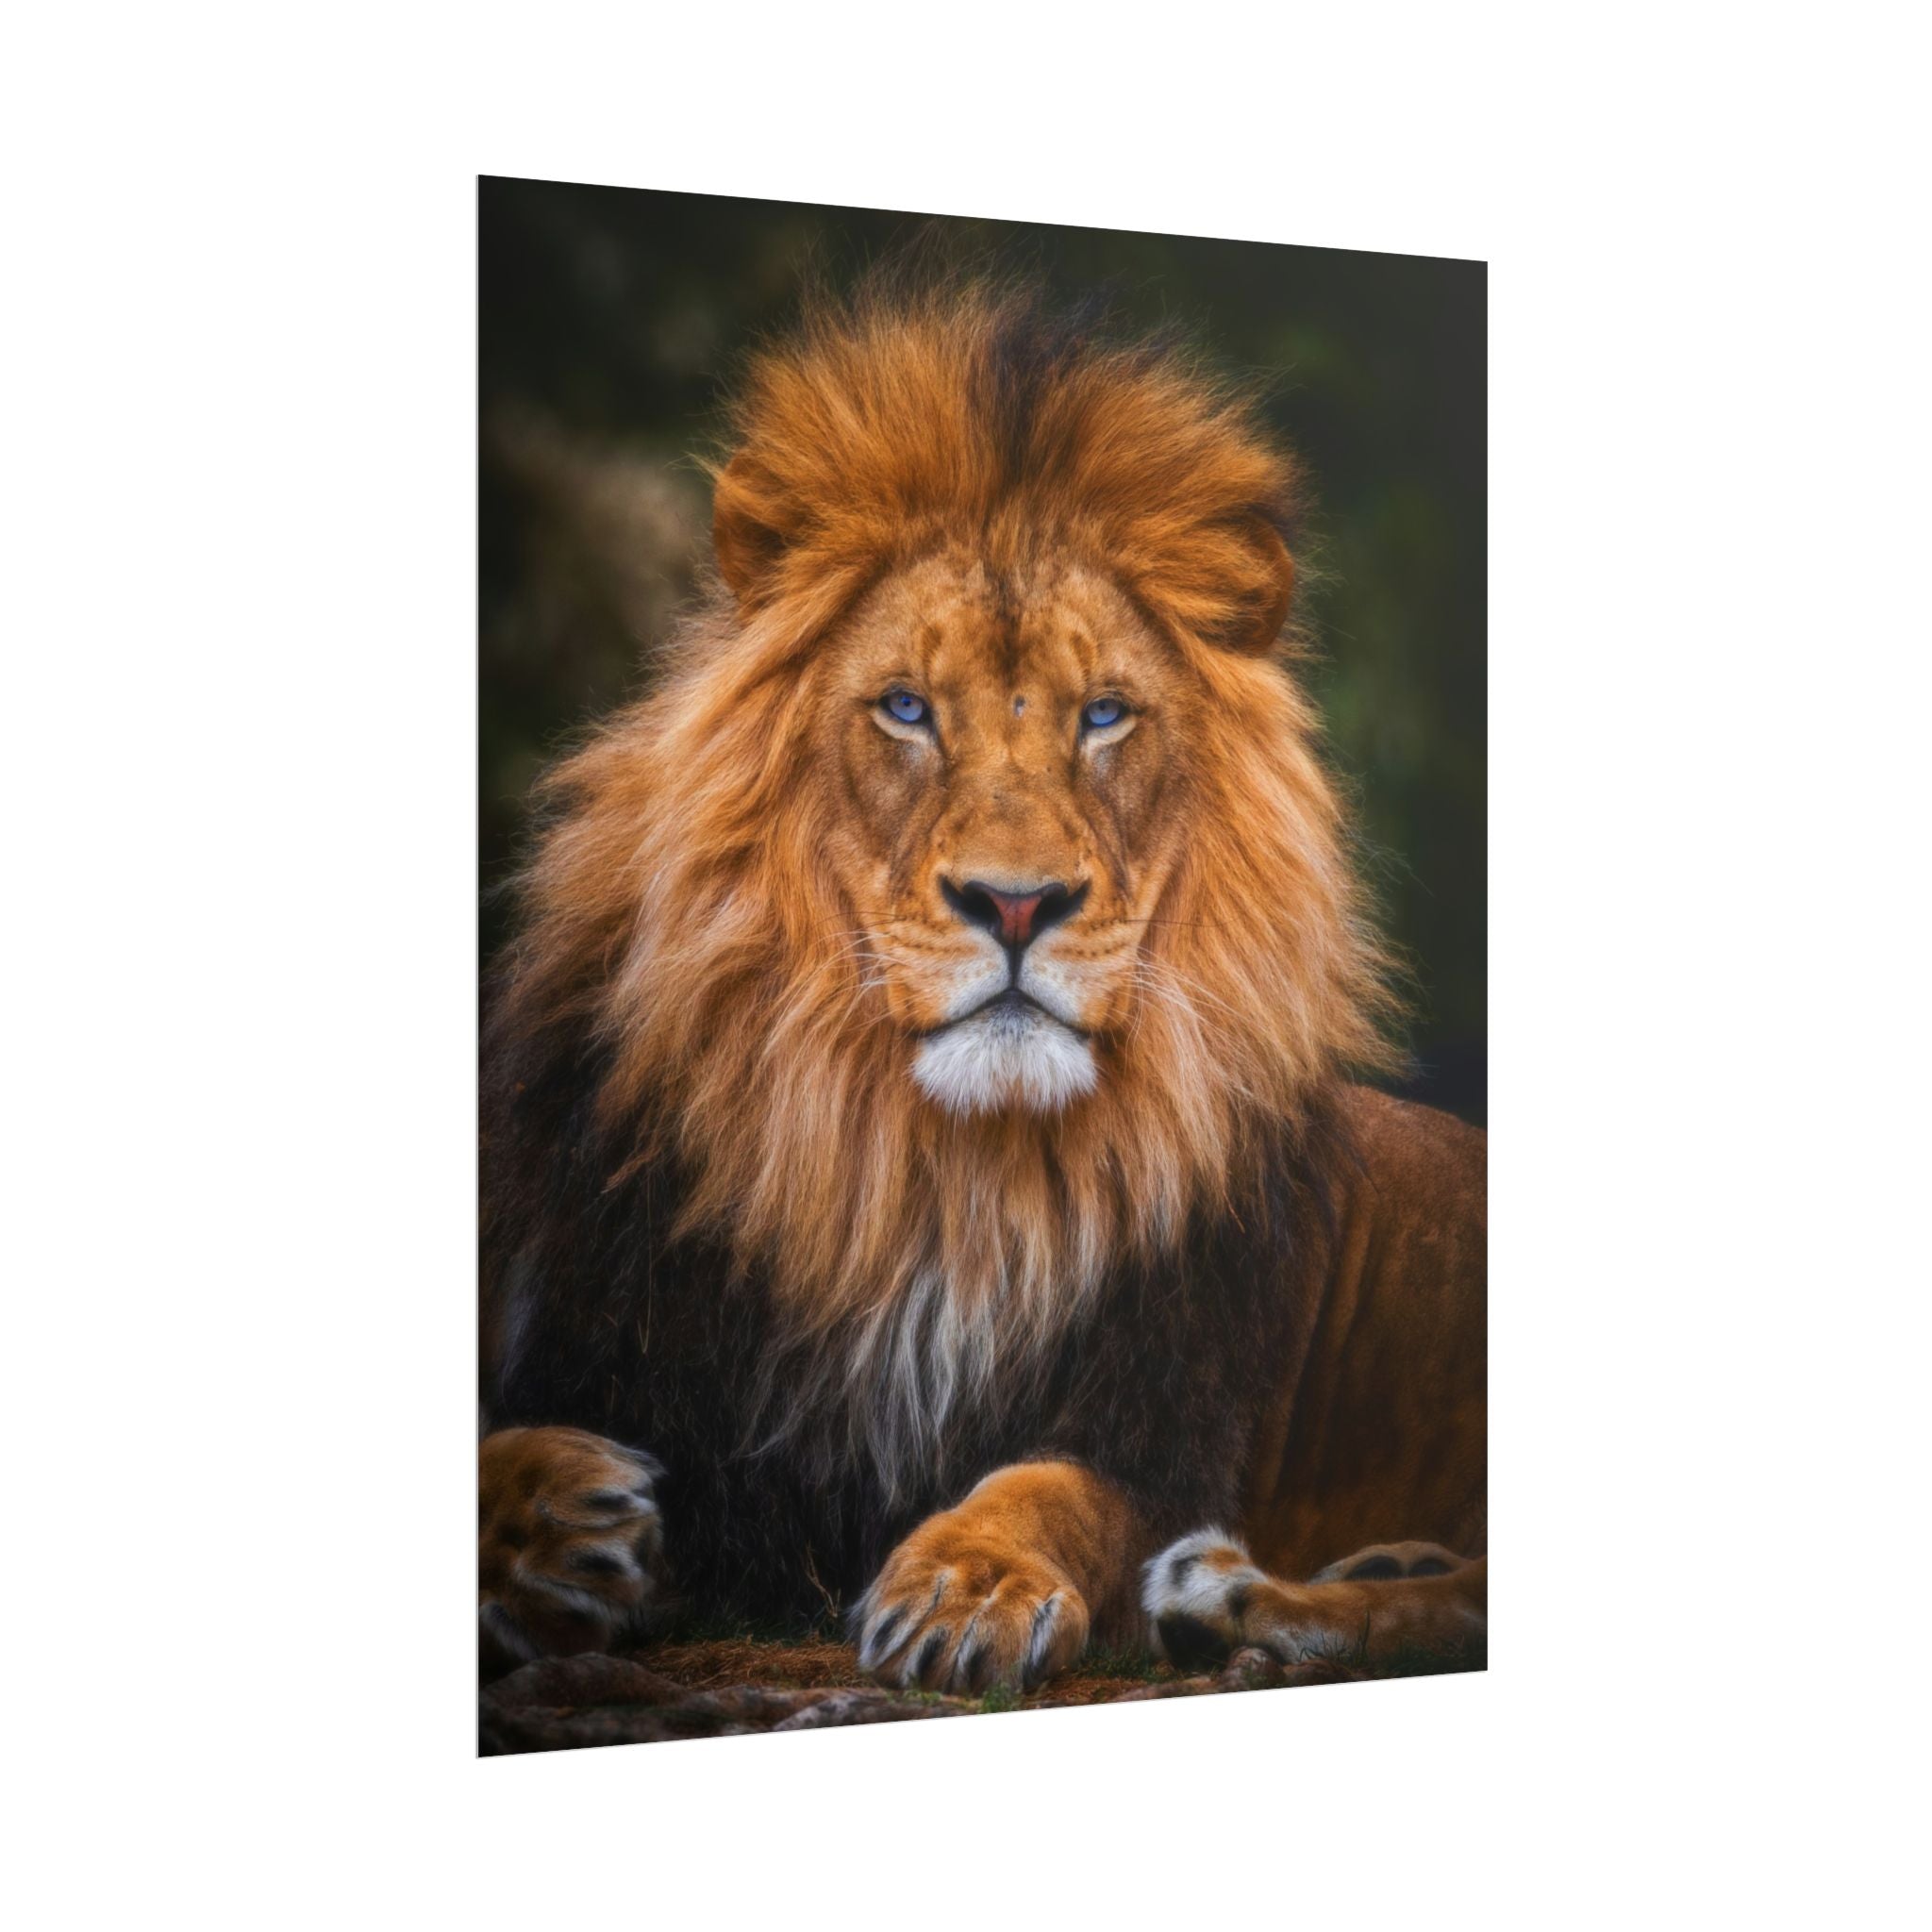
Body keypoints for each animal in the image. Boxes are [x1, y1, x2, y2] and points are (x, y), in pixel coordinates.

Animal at [479, 276, 1486, 1695]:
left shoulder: (1162, 1425)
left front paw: (968, 1584)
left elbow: (1051, 1488)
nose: (1016, 904)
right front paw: (554, 1521)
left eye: (1104, 715)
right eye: (906, 708)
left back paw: (1240, 1600)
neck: (932, 1176)